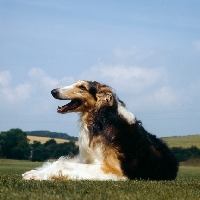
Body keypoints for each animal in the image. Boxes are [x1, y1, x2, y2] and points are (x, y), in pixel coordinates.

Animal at [22, 80, 179, 180]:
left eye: (82, 87)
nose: (53, 91)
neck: (100, 119)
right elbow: (59, 162)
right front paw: (37, 174)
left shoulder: (111, 169)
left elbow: (63, 164)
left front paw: (42, 176)